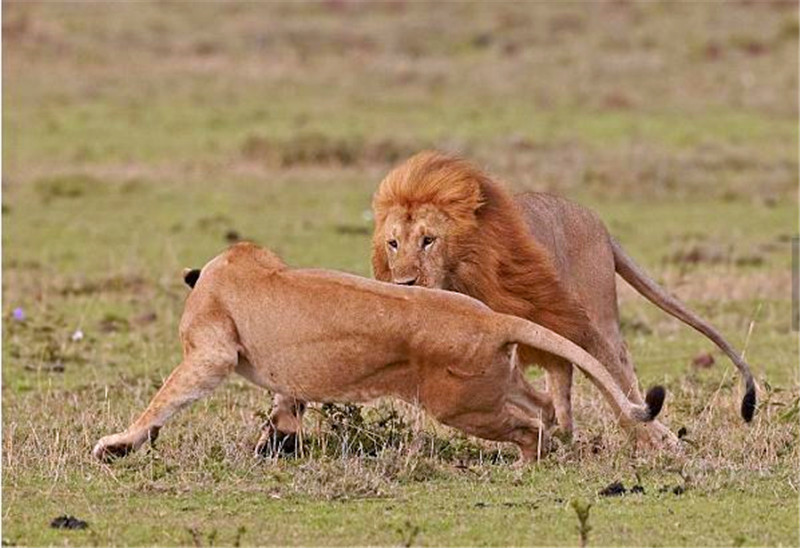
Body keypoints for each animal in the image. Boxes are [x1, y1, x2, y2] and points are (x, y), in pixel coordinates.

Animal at [92, 243, 664, 462]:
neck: (233, 264)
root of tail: (490, 316)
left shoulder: (210, 351)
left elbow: (164, 398)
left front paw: (117, 445)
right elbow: (284, 407)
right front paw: (275, 447)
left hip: (460, 405)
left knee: (529, 429)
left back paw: (527, 464)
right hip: (493, 382)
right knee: (544, 408)